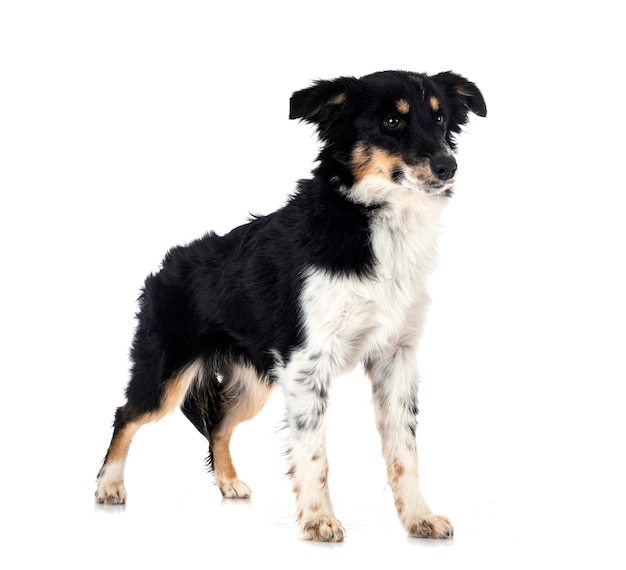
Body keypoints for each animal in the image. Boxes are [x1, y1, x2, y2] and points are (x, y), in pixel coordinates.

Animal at [97, 69, 486, 540]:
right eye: (393, 122)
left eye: (441, 118)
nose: (449, 166)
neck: (372, 221)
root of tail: (166, 266)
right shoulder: (307, 363)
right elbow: (314, 452)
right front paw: (319, 519)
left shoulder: (396, 358)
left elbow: (404, 451)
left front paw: (418, 516)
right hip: (166, 374)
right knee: (125, 415)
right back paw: (109, 485)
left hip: (255, 383)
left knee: (218, 424)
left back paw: (228, 482)